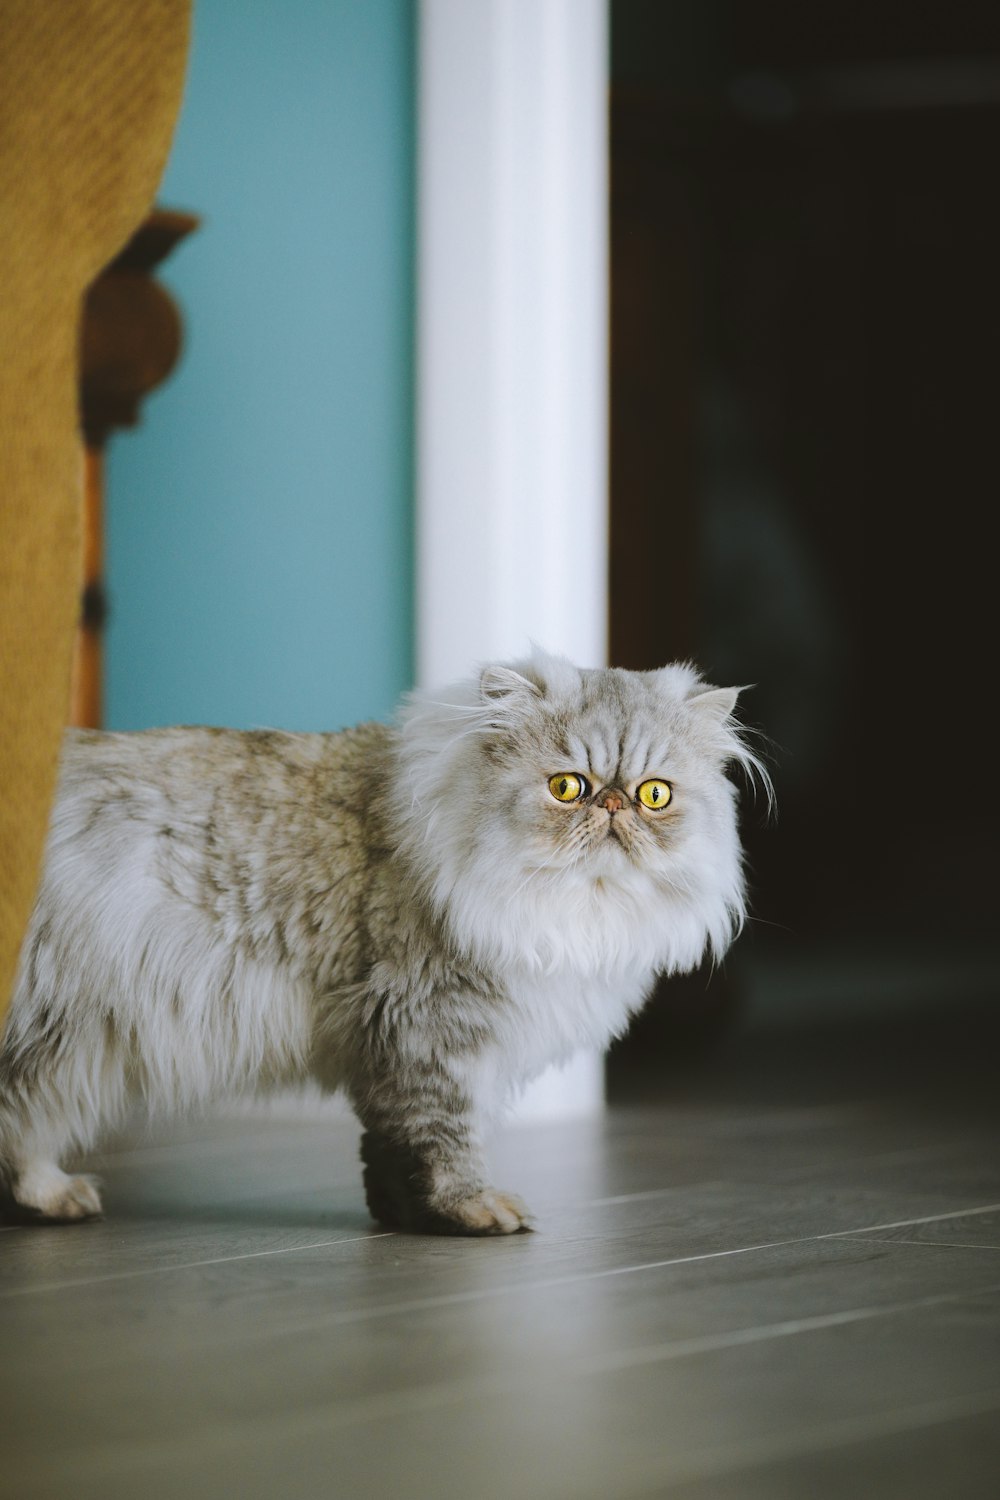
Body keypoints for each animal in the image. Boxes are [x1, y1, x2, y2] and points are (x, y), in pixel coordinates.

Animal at [1, 651, 767, 1236]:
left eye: (655, 796)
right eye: (566, 787)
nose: (613, 806)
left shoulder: (400, 1046)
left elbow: (389, 1150)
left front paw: (402, 1219)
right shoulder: (432, 1030)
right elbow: (445, 1139)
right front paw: (469, 1212)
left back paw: (52, 1199)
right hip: (51, 1027)